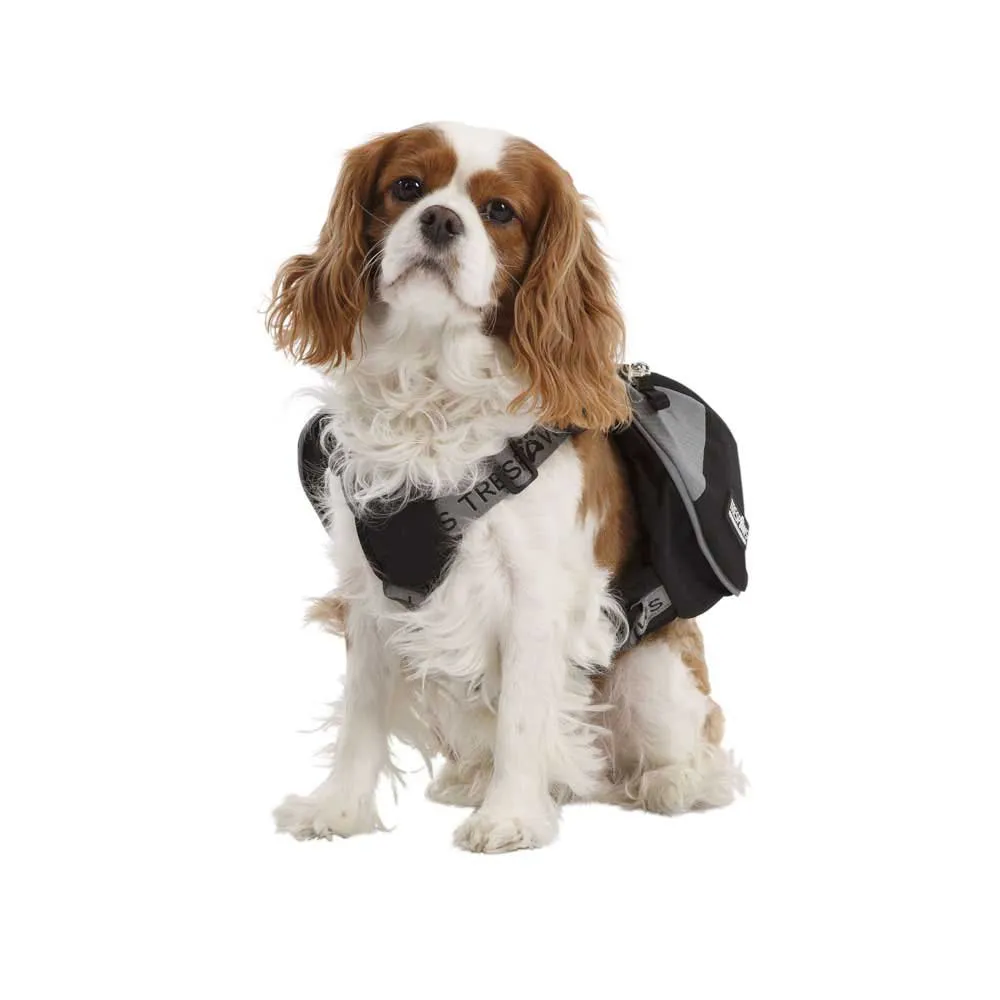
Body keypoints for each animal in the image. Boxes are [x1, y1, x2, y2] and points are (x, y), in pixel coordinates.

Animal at [269, 122, 745, 852]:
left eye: (500, 212)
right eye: (407, 187)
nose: (440, 219)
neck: (433, 381)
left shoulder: (537, 596)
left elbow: (524, 715)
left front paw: (511, 818)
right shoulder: (372, 592)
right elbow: (360, 715)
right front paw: (339, 810)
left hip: (653, 676)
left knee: (699, 758)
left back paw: (666, 784)